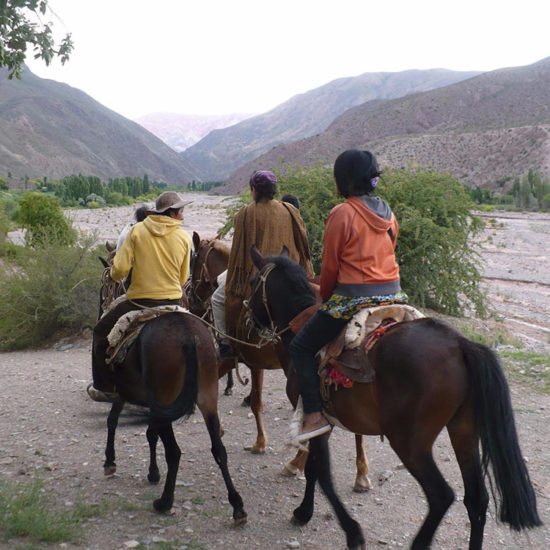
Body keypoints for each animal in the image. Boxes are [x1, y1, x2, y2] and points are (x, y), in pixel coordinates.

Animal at [95, 252, 248, 524]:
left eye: (105, 286)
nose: (102, 306)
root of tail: (187, 336)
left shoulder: (123, 392)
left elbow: (114, 421)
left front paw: (110, 461)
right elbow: (149, 432)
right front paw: (152, 472)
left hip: (165, 400)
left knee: (174, 452)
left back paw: (164, 502)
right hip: (206, 397)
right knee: (218, 448)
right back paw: (237, 506)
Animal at [190, 235, 376, 494]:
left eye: (193, 260)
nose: (189, 297)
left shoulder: (235, 356)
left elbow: (243, 396)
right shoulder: (253, 361)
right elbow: (255, 400)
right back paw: (361, 473)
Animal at [249, 249, 544, 550]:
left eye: (252, 282)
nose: (250, 318)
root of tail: (461, 344)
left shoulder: (315, 417)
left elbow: (321, 473)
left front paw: (350, 531)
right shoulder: (324, 423)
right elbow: (314, 469)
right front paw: (304, 512)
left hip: (409, 443)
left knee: (441, 496)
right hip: (463, 430)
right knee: (476, 499)